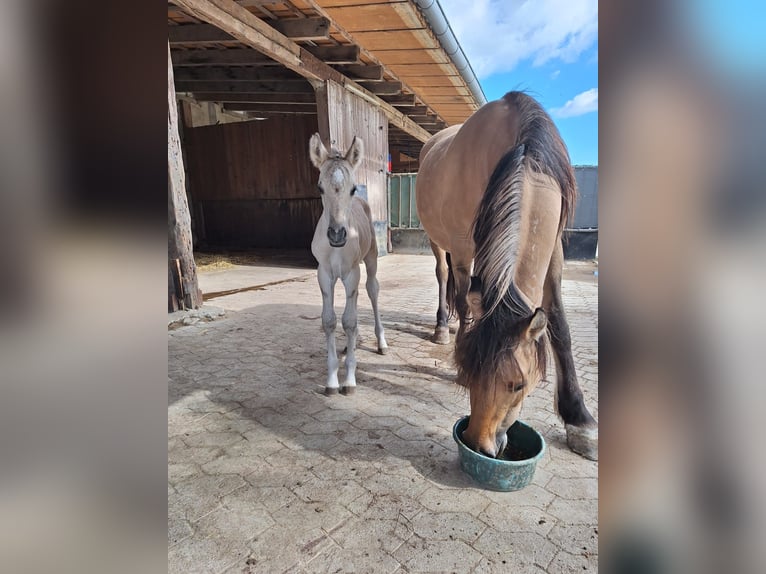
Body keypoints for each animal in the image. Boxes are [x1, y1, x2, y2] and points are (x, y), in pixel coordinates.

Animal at [309, 133, 388, 396]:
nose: (336, 235)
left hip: (370, 260)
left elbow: (350, 321)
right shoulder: (324, 274)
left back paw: (381, 342)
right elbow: (331, 321)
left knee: (372, 291)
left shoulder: (352, 273)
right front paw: (332, 380)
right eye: (320, 187)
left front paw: (350, 380)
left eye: (352, 188)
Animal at [415, 91, 598, 460]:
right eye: (474, 376)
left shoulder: (554, 251)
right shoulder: (463, 249)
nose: (478, 444)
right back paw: (442, 327)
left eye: (519, 385)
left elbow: (559, 325)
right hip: (438, 241)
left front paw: (579, 420)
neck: (524, 150)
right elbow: (465, 304)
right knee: (443, 277)